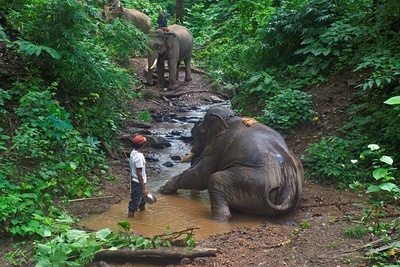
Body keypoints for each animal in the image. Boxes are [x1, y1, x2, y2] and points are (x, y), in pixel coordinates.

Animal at [159, 106, 304, 222]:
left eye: (199, 130)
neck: (230, 118)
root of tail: (288, 189)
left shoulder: (216, 147)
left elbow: (202, 176)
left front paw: (163, 189)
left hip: (249, 181)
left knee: (215, 179)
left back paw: (217, 220)